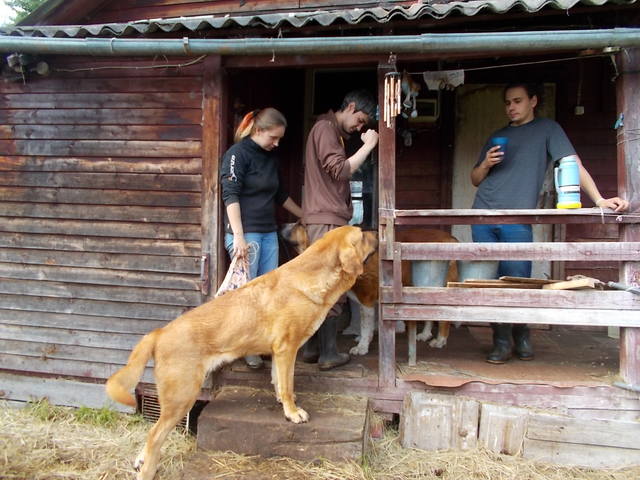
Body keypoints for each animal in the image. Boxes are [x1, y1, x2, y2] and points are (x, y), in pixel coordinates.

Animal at [104, 226, 376, 480]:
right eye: (362, 235)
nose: (376, 230)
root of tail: (159, 333)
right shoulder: (287, 349)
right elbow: (287, 385)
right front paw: (292, 412)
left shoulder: (278, 353)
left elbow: (279, 382)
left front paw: (282, 402)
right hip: (182, 397)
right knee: (154, 435)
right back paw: (147, 470)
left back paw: (140, 461)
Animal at [282, 223, 458, 354]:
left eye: (301, 225)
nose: (283, 224)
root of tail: (450, 238)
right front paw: (364, 339)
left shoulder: (366, 298)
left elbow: (366, 325)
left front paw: (362, 347)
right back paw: (426, 334)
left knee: (444, 317)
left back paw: (440, 340)